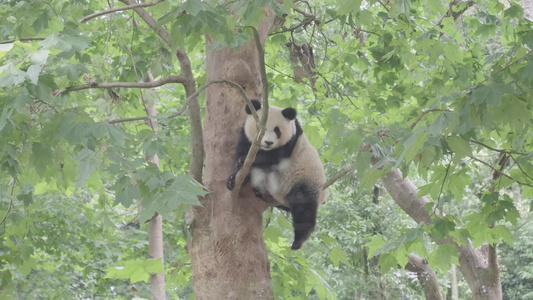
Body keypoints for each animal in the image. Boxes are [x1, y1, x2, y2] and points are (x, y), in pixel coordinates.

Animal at [224, 99, 324, 250]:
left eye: (277, 131)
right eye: (261, 129)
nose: (268, 142)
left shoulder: (291, 141)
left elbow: (273, 158)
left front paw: (244, 161)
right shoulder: (246, 136)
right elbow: (242, 155)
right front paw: (233, 179)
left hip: (306, 177)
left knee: (303, 207)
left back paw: (299, 240)